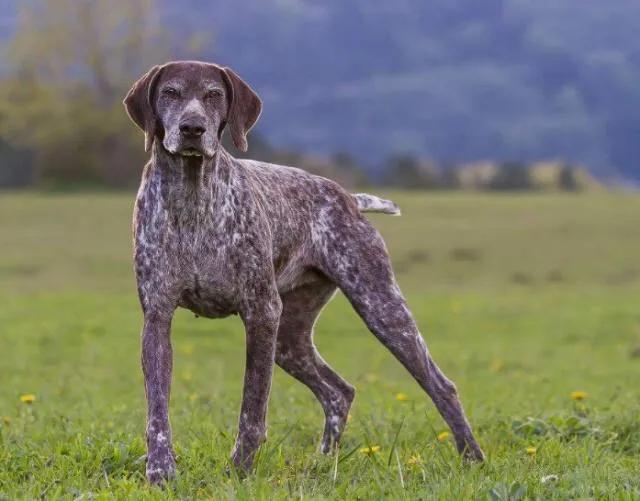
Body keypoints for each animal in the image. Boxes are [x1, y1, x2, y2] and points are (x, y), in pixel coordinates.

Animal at [124, 60, 484, 482]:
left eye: (213, 95)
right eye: (170, 93)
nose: (192, 128)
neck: (192, 198)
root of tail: (349, 198)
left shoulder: (261, 313)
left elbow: (252, 409)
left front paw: (241, 470)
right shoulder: (158, 316)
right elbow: (157, 411)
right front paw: (160, 471)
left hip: (381, 310)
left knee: (441, 386)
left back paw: (472, 458)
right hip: (290, 338)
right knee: (339, 392)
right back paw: (324, 461)